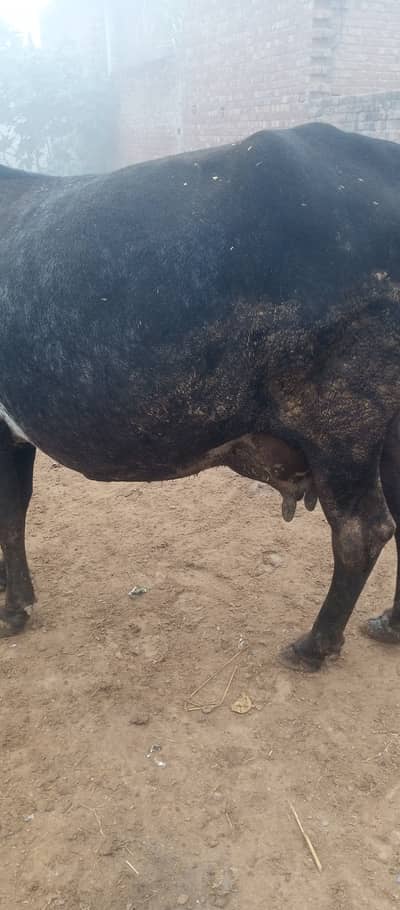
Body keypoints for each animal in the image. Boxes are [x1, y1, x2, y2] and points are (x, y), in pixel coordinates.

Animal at [1, 121, 400, 672]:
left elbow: (7, 515)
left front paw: (12, 610)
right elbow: (16, 507)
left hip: (342, 423)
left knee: (362, 532)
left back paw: (313, 646)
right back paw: (390, 625)